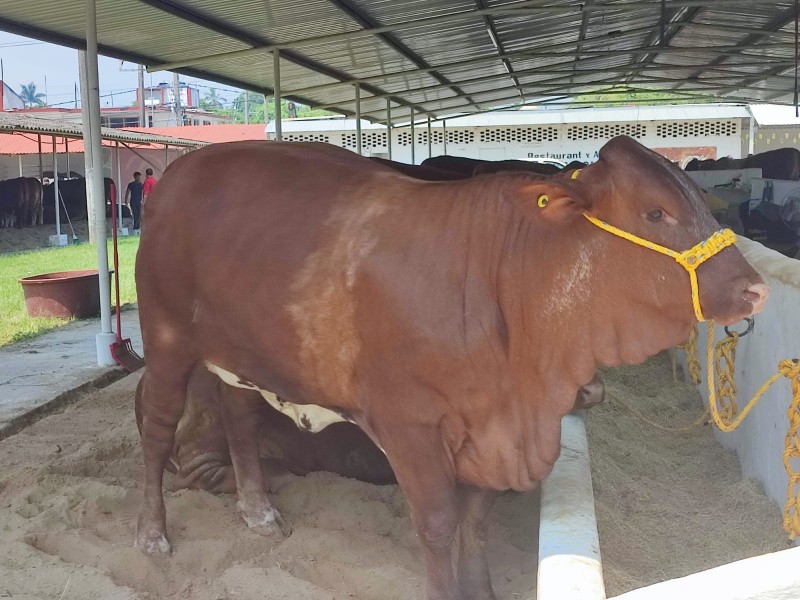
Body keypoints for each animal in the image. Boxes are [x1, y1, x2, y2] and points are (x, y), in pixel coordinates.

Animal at [134, 136, 764, 600]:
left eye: (699, 200)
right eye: (655, 212)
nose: (754, 288)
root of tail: (181, 170)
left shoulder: (492, 435)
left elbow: (475, 522)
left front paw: (481, 590)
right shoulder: (410, 428)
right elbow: (437, 524)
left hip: (241, 358)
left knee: (239, 419)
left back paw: (259, 511)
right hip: (167, 339)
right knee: (158, 431)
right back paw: (153, 536)